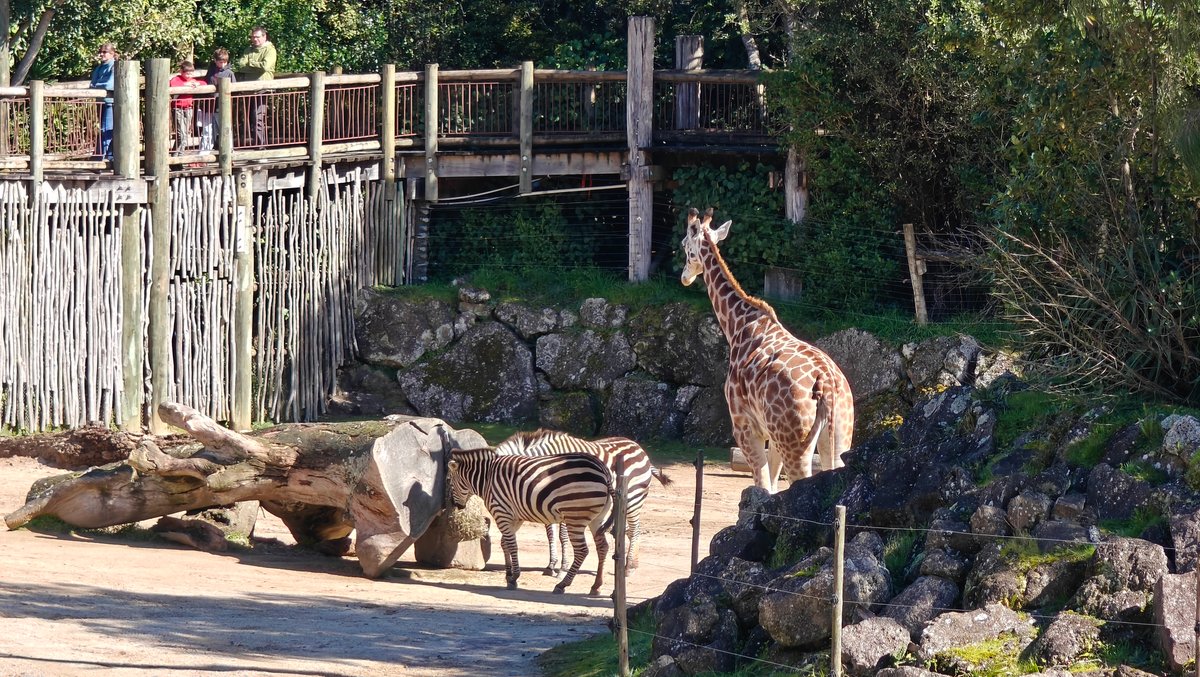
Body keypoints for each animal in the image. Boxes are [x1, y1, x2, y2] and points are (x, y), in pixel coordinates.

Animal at [447, 447, 614, 595]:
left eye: (449, 482)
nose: (456, 505)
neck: (486, 478)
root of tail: (602, 468)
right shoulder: (515, 517)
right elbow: (504, 544)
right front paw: (508, 575)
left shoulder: (501, 512)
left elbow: (512, 546)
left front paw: (514, 577)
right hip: (598, 518)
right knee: (603, 547)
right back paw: (596, 586)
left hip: (575, 516)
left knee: (582, 551)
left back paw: (562, 585)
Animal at [494, 429, 672, 575]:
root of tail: (639, 448)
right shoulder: (542, 501)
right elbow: (550, 534)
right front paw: (551, 565)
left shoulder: (565, 502)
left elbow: (562, 535)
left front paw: (563, 567)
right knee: (627, 530)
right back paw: (631, 563)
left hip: (633, 498)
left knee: (635, 529)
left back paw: (629, 568)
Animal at [680, 207, 854, 494]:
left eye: (685, 245)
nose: (684, 277)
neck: (738, 325)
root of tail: (828, 384)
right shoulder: (771, 434)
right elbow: (771, 487)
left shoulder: (744, 425)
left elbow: (762, 486)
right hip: (840, 434)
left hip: (796, 442)